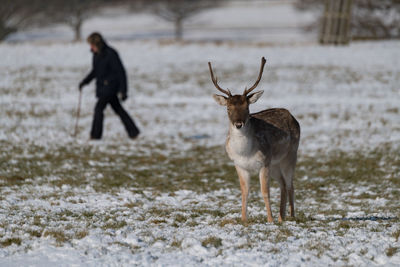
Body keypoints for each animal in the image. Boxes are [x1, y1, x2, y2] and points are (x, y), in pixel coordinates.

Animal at [209, 57, 300, 224]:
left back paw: (291, 216)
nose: (239, 124)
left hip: (290, 155)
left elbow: (265, 192)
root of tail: (291, 115)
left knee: (290, 183)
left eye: (247, 107)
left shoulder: (264, 162)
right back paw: (281, 217)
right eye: (228, 108)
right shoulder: (239, 165)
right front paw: (244, 219)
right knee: (283, 184)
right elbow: (245, 191)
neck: (245, 153)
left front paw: (269, 220)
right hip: (275, 164)